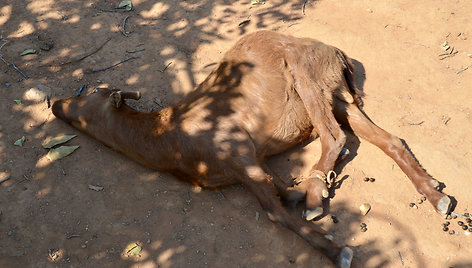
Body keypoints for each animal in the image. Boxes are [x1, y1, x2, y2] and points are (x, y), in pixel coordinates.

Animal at [50, 30, 450, 266]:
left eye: (92, 95)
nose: (55, 104)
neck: (168, 137)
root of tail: (338, 54)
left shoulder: (241, 153)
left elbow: (275, 211)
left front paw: (338, 249)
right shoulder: (251, 165)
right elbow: (284, 194)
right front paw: (311, 201)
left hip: (306, 75)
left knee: (334, 136)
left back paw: (318, 194)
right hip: (336, 95)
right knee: (387, 139)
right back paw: (437, 196)